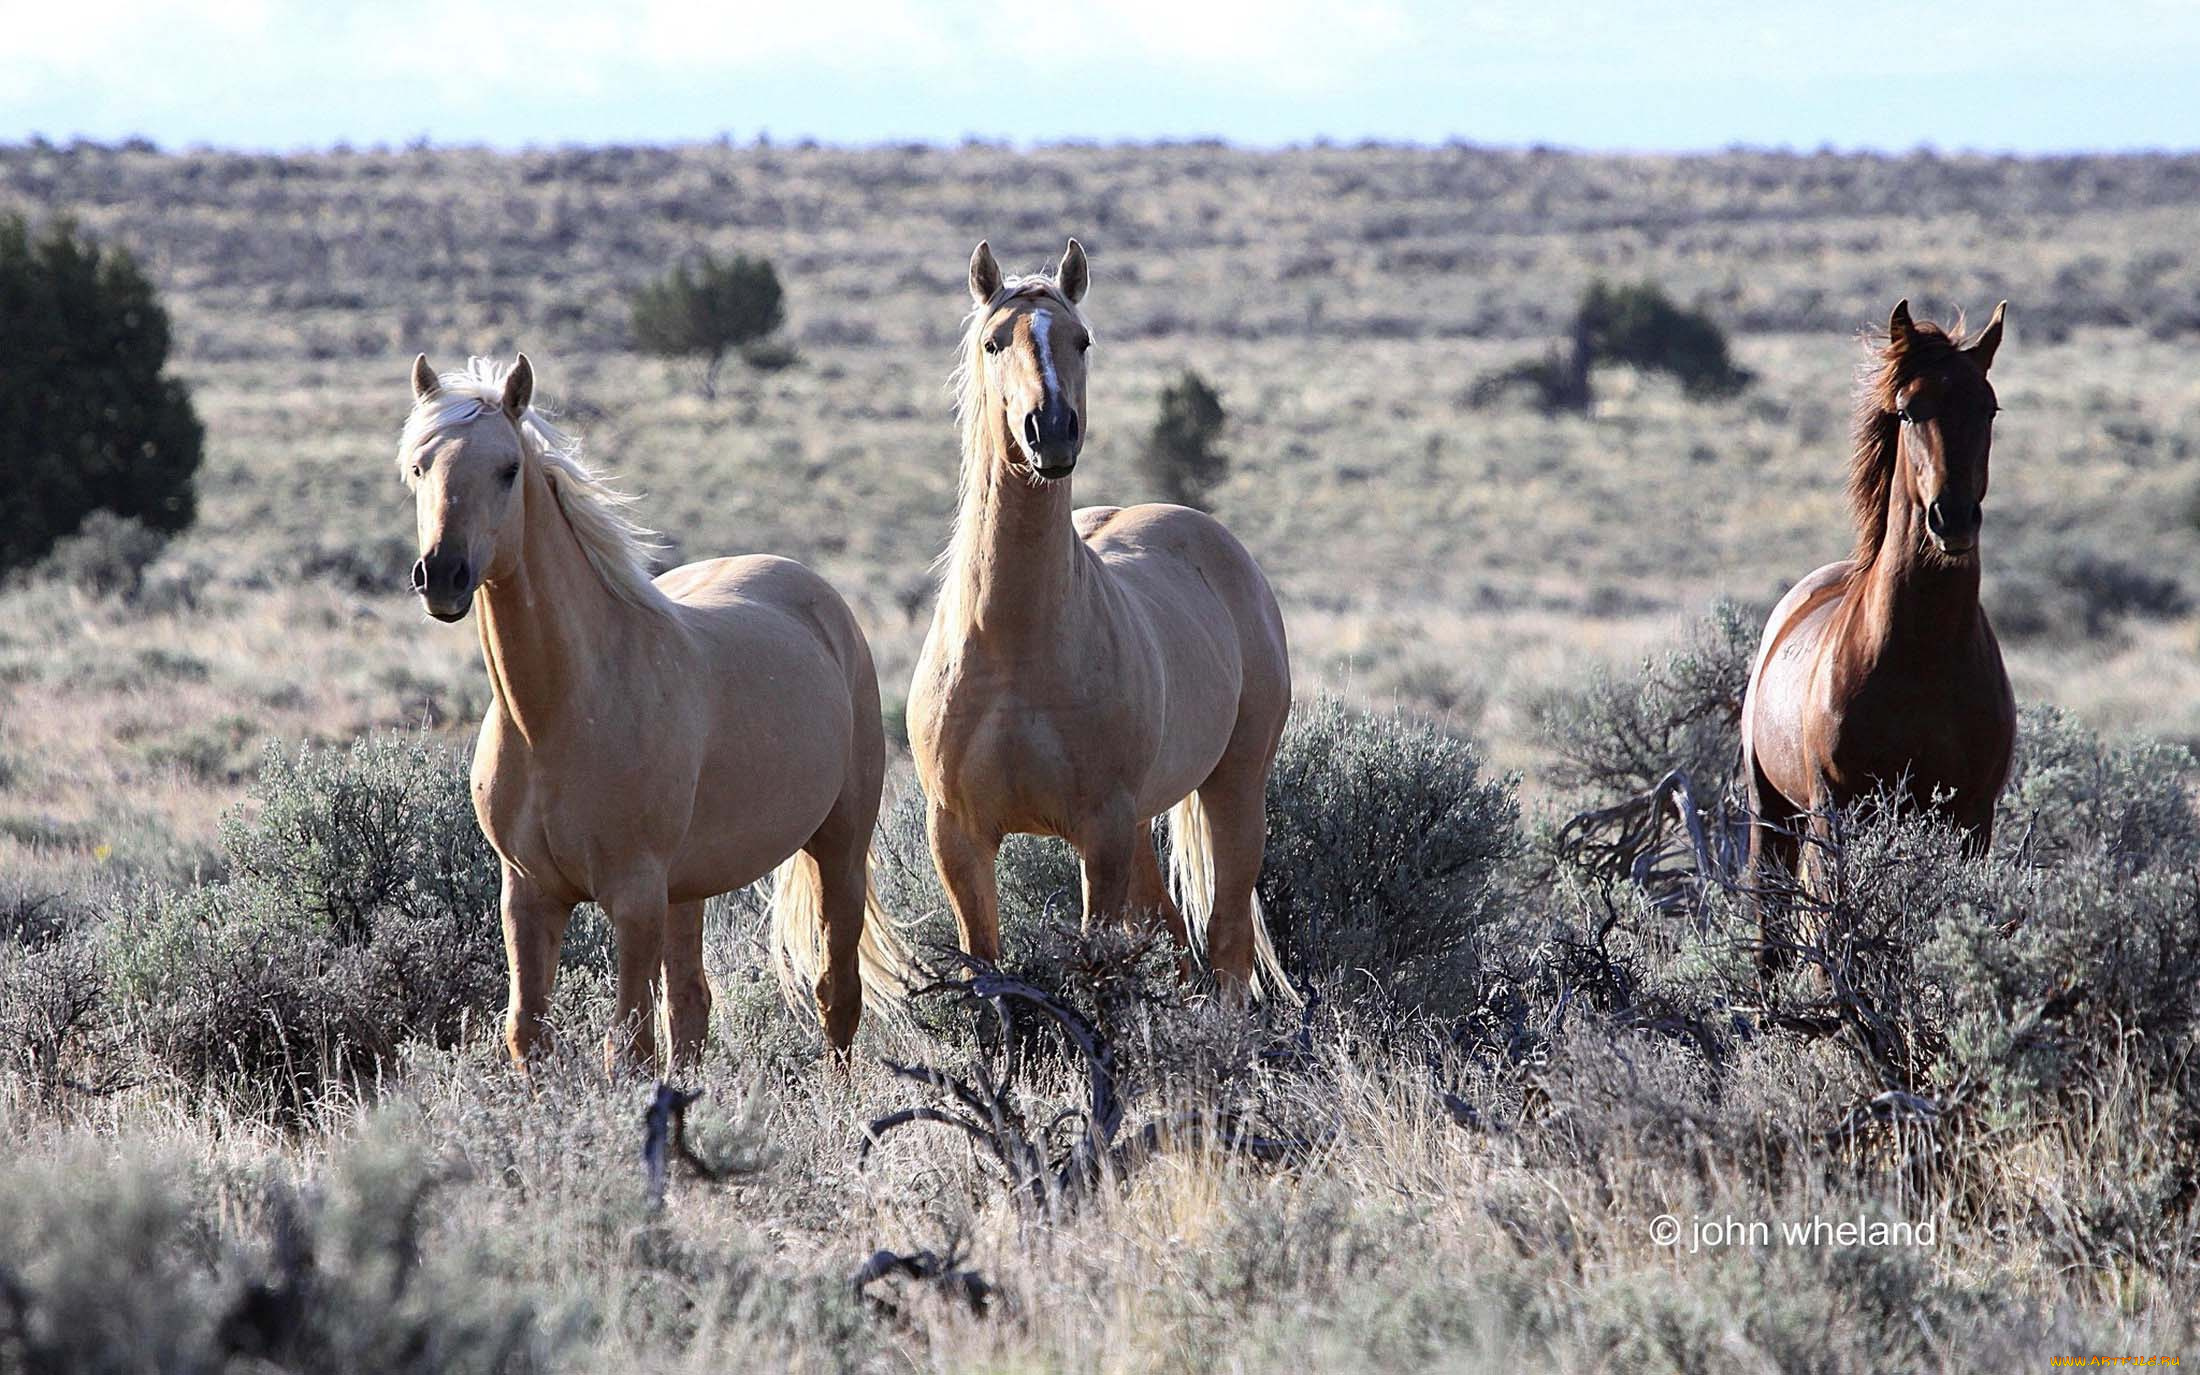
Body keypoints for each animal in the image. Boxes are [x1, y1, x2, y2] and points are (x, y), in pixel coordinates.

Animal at [396, 352, 910, 1060]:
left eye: (508, 469)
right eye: (419, 467)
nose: (442, 575)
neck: (555, 715)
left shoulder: (634, 897)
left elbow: (629, 1043)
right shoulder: (527, 894)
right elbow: (528, 1031)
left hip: (838, 849)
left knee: (837, 995)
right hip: (687, 887)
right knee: (691, 1006)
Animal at [915, 238, 1302, 998]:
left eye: (1081, 340)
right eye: (994, 341)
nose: (1052, 431)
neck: (1013, 647)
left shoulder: (1102, 831)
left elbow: (1097, 966)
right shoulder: (959, 837)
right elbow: (989, 976)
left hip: (1234, 789)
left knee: (1228, 948)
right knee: (1180, 941)